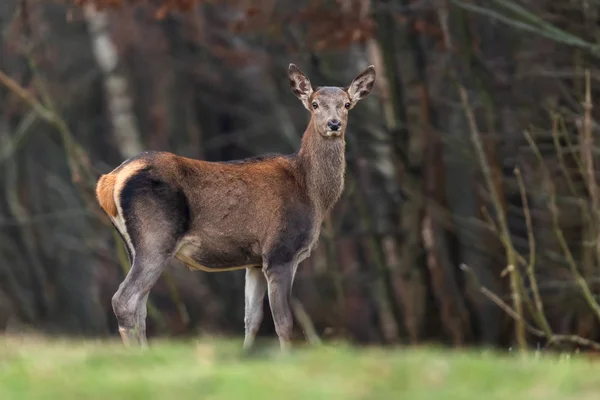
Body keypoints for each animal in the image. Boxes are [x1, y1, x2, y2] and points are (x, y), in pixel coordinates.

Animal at [95, 62, 376, 350]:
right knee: (125, 299)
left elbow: (251, 319)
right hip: (157, 237)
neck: (312, 193)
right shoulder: (281, 251)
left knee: (140, 305)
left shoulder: (254, 262)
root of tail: (109, 180)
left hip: (133, 246)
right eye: (315, 104)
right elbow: (284, 323)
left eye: (347, 104)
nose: (334, 124)